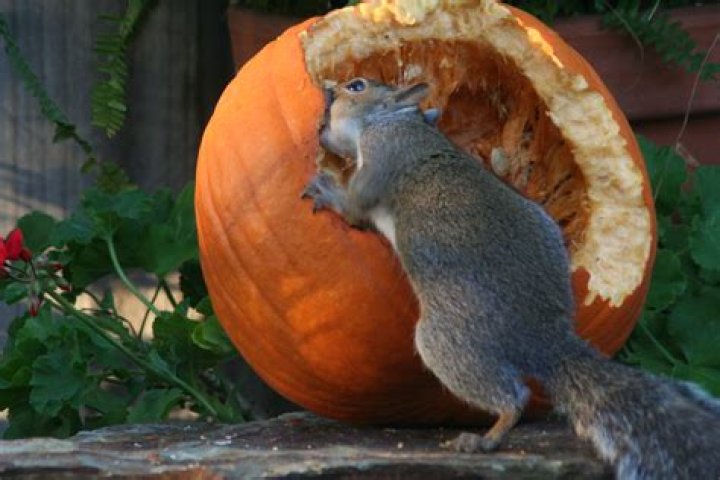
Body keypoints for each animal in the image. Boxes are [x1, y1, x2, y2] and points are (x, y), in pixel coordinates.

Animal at [302, 77, 720, 479]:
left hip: (450, 339)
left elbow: (355, 208)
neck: (400, 122)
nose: (327, 91)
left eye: (357, 86)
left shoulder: (382, 156)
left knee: (512, 397)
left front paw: (327, 190)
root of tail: (543, 338)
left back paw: (486, 437)